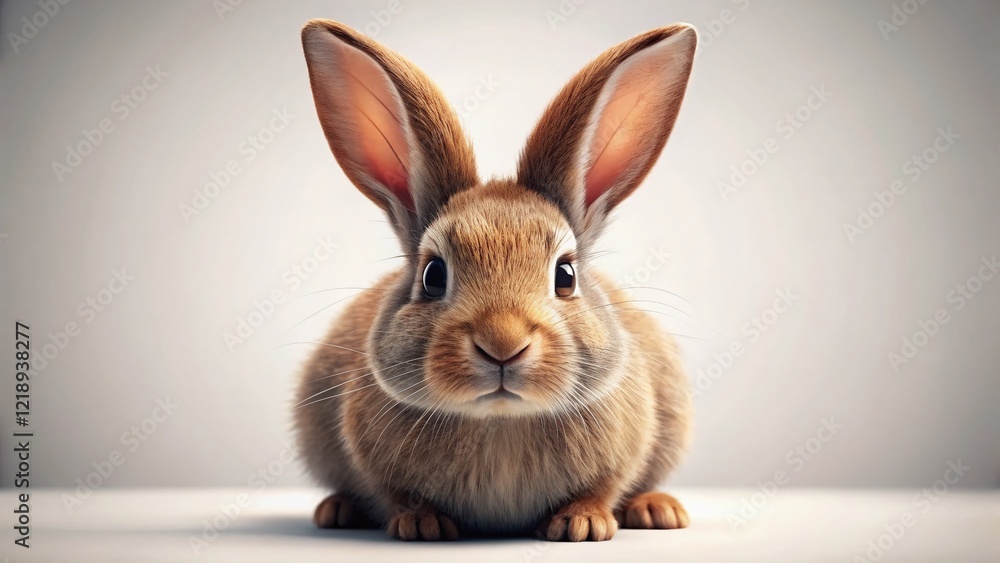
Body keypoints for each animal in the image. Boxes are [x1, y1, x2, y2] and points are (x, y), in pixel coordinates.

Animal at [294, 18, 697, 542]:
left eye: (565, 275)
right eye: (433, 274)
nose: (502, 343)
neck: (501, 418)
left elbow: (605, 485)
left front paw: (583, 524)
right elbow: (396, 494)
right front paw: (421, 524)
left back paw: (657, 510)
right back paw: (337, 511)